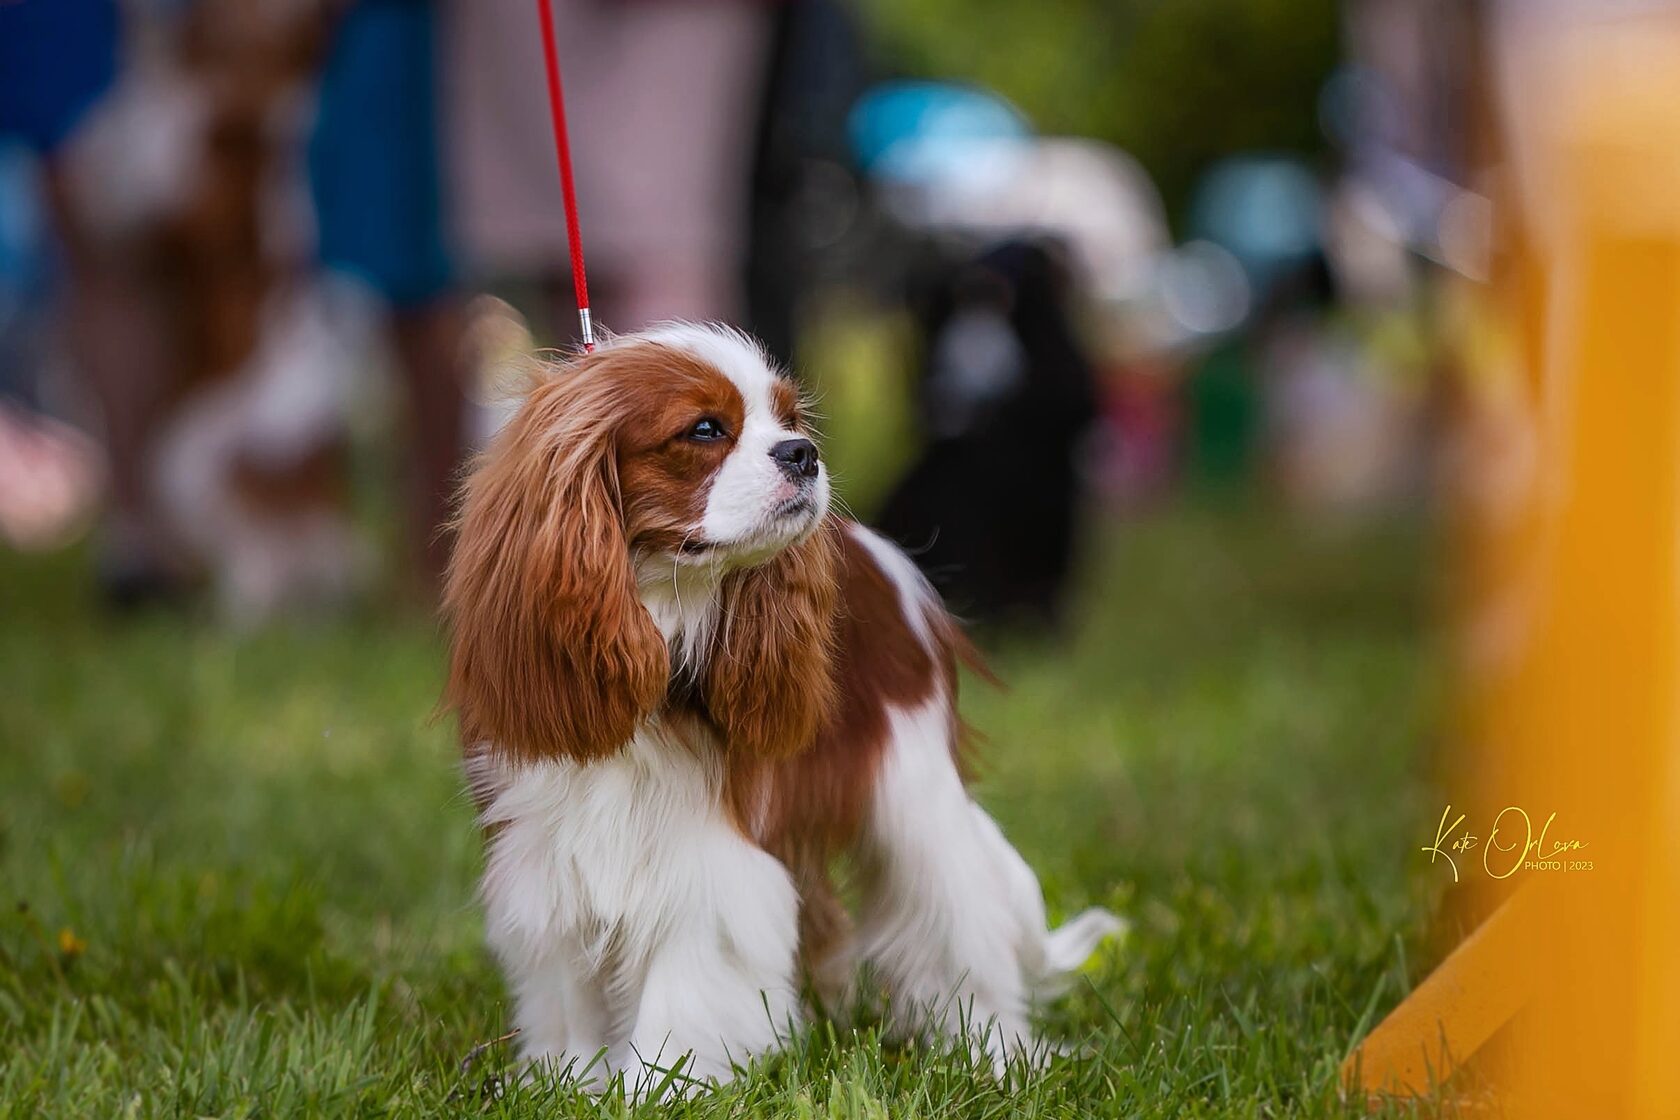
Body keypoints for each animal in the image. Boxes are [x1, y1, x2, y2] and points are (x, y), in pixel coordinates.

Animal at [443, 319, 1115, 1088]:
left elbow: (683, 986)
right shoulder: (550, 856)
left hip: (920, 807)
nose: (804, 452)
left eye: (791, 420)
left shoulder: (710, 868)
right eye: (706, 429)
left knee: (959, 928)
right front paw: (571, 1081)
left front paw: (655, 1085)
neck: (661, 623)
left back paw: (996, 1055)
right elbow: (568, 992)